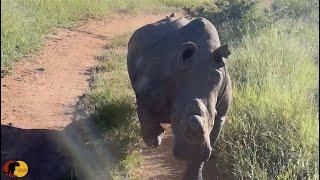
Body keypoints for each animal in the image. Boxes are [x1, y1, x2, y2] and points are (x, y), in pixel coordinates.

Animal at [126, 14, 231, 180]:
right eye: (175, 116)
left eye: (213, 118)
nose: (190, 152)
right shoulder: (146, 94)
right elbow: (145, 115)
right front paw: (155, 139)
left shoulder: (221, 113)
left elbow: (208, 145)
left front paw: (194, 174)